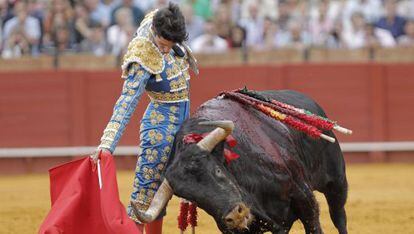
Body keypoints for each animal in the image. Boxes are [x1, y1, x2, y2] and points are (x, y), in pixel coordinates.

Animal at [134, 90, 348, 234]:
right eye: (193, 199)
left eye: (218, 171)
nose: (235, 216)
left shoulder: (304, 197)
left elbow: (314, 225)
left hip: (336, 182)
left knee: (339, 216)